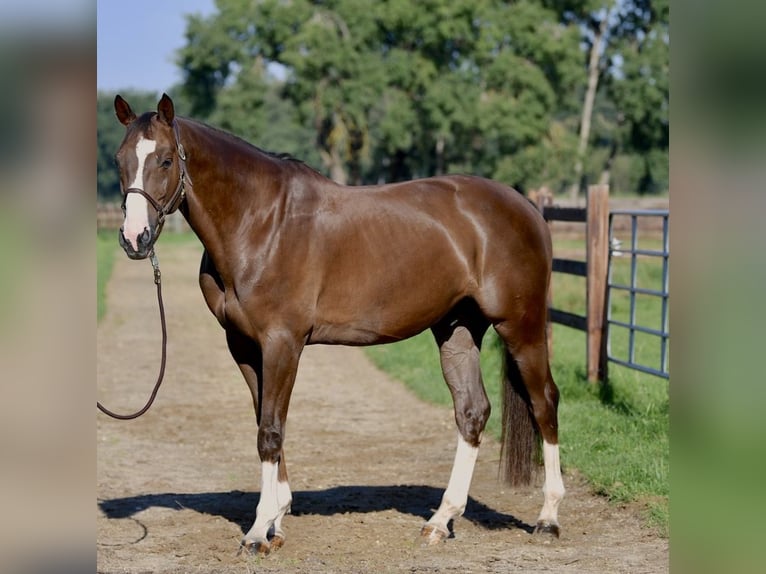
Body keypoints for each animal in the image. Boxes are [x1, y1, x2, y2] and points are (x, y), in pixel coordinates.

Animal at [110, 93, 564, 555]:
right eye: (119, 160)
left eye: (166, 160)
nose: (134, 238)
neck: (260, 222)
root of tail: (526, 207)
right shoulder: (244, 346)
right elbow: (265, 421)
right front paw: (276, 520)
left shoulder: (282, 343)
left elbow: (270, 431)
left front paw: (258, 531)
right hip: (457, 329)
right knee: (472, 411)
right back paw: (441, 520)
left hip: (520, 326)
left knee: (544, 402)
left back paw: (547, 517)